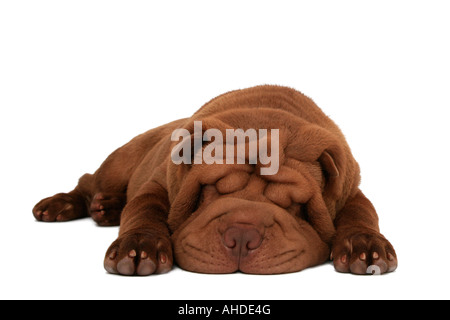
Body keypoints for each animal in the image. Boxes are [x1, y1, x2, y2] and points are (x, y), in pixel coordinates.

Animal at [31, 85, 398, 276]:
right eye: (209, 190)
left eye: (295, 205)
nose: (242, 235)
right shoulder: (159, 184)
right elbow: (143, 209)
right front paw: (139, 247)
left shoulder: (351, 192)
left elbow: (362, 213)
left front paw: (366, 247)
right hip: (120, 162)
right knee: (88, 182)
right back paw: (62, 205)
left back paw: (106, 209)